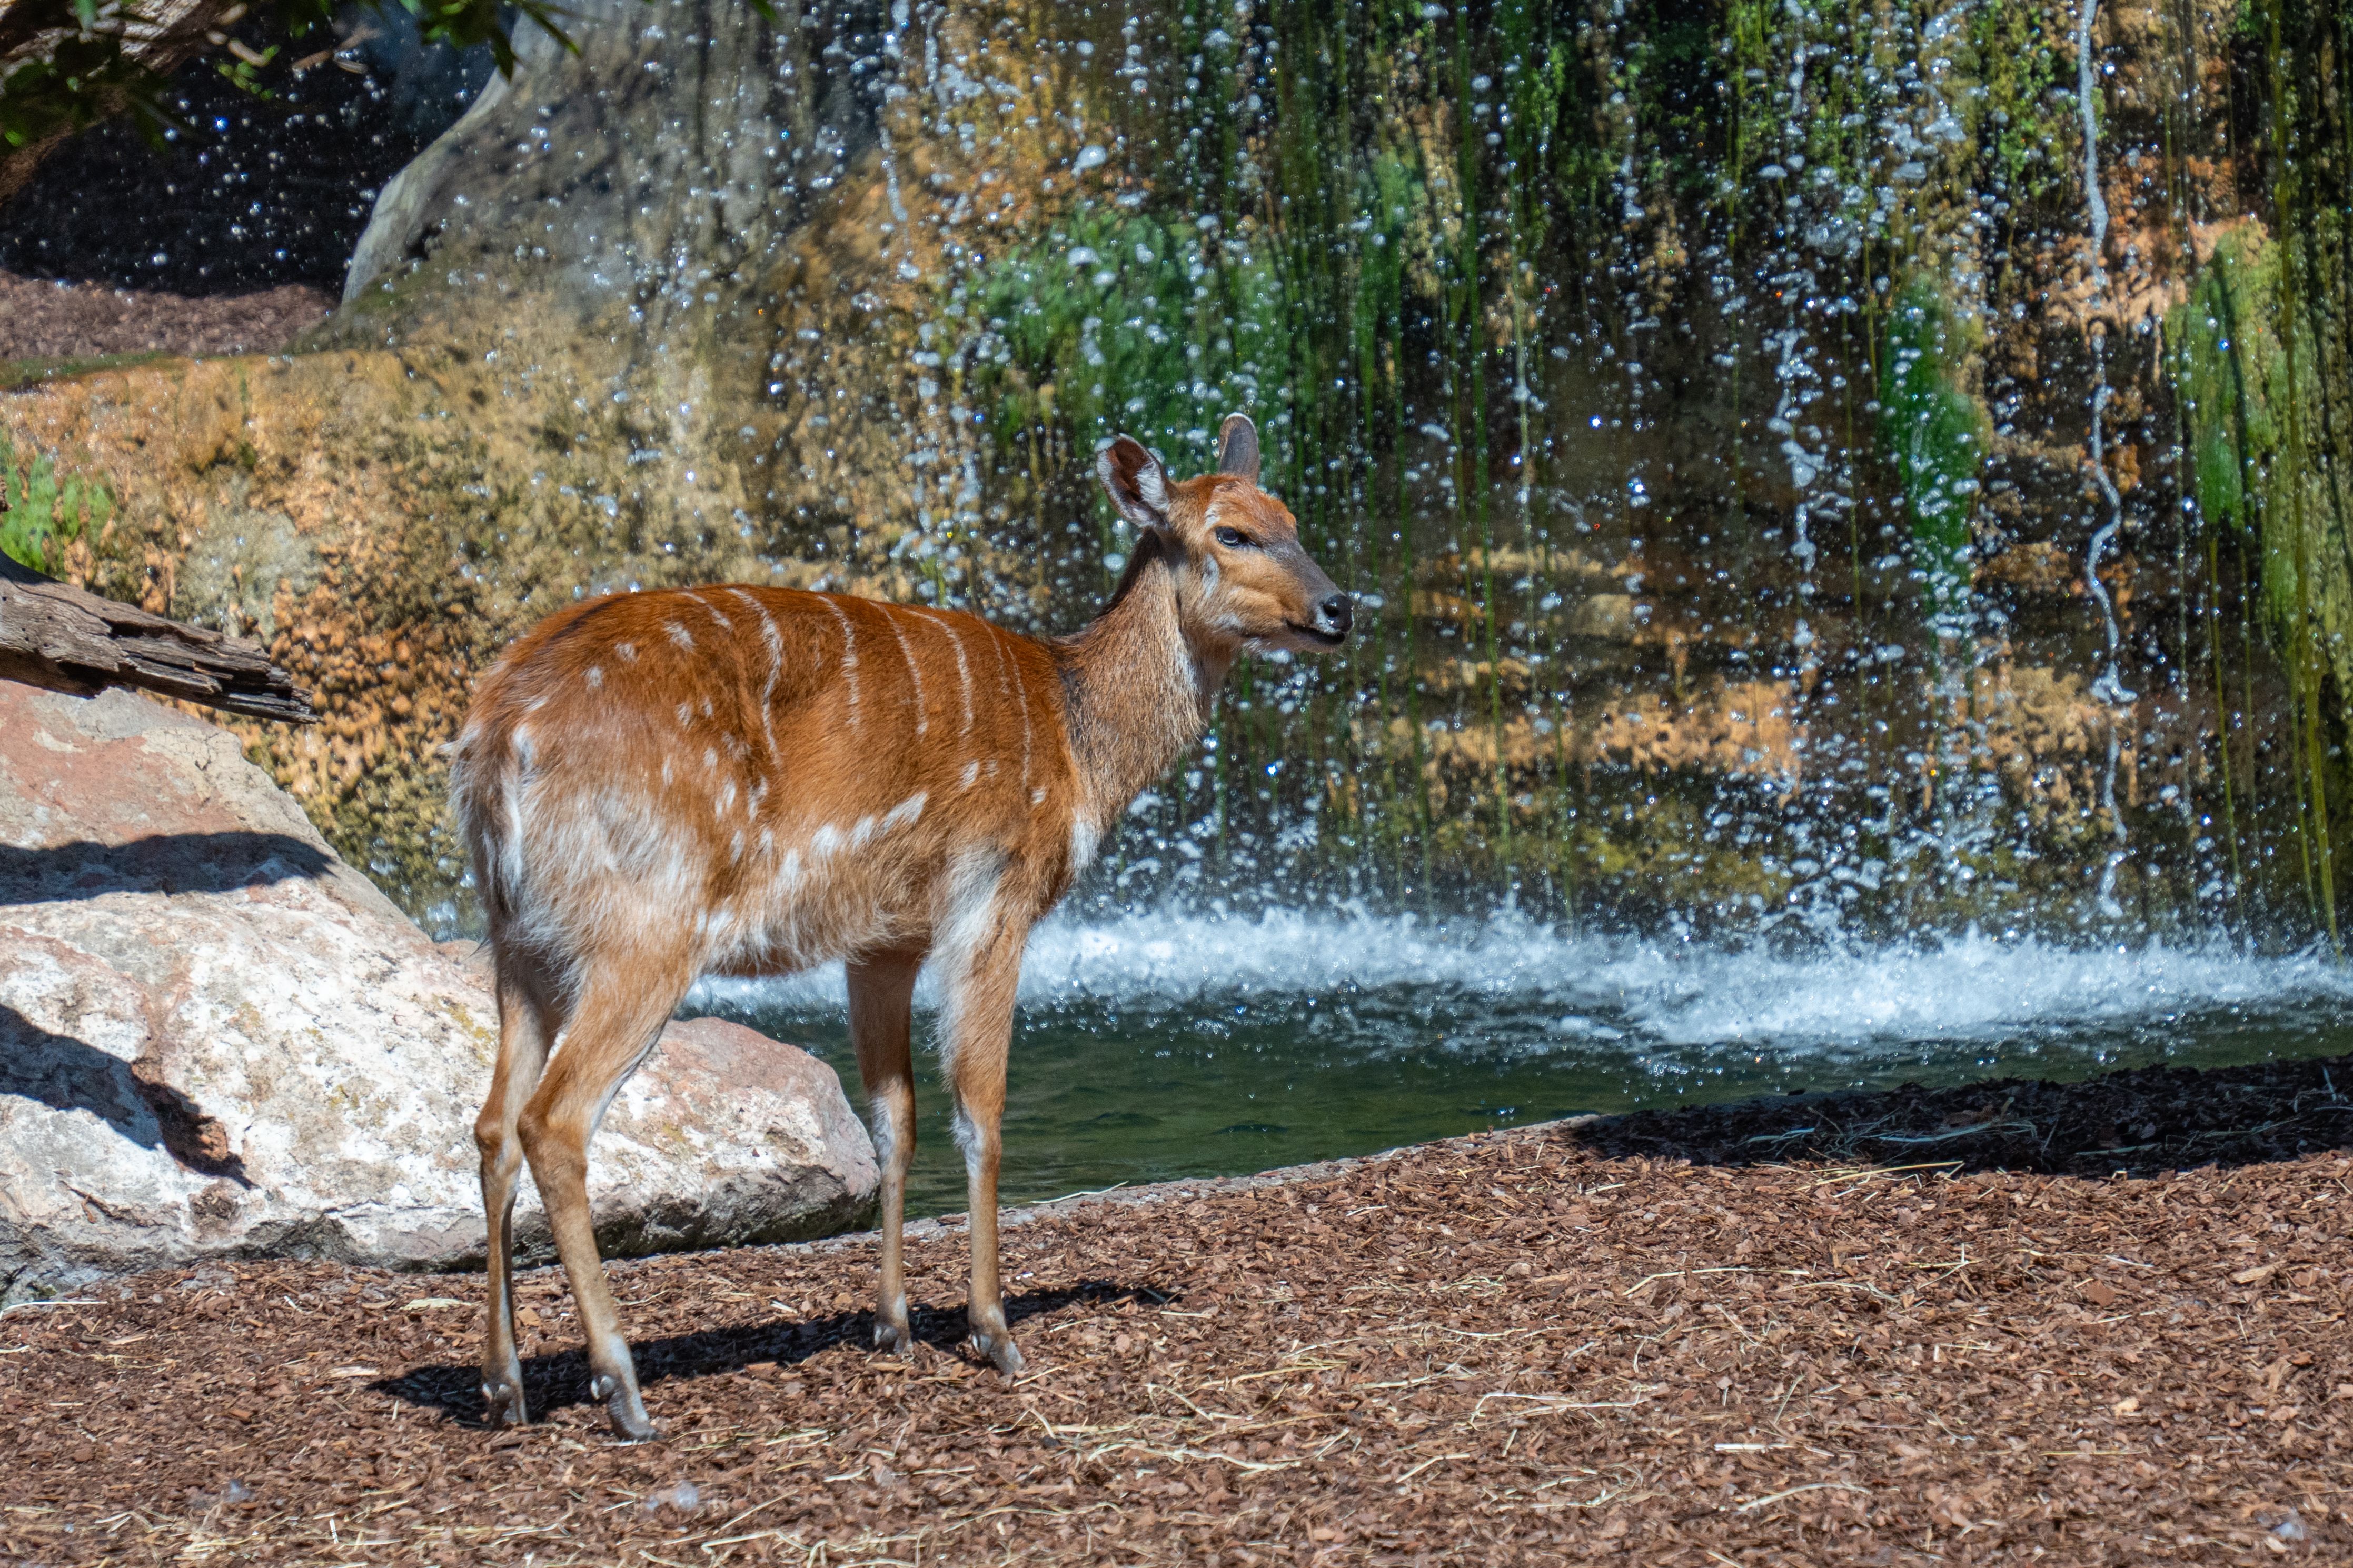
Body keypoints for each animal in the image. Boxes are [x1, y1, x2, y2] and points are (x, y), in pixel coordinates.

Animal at [452, 415, 1351, 1438]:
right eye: (1230, 534)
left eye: (1292, 519)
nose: (1339, 607)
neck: (1080, 749)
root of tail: (499, 735)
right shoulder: (993, 893)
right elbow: (980, 1111)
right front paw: (992, 1330)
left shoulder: (882, 939)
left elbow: (895, 1116)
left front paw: (892, 1324)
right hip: (645, 918)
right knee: (551, 1119)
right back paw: (622, 1386)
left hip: (517, 933)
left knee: (490, 1121)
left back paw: (504, 1383)